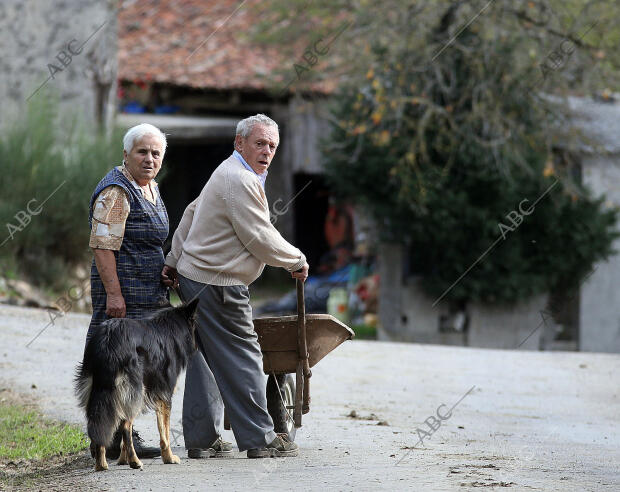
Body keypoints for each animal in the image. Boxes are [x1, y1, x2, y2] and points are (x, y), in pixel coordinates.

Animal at [74, 300, 199, 472]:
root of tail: (108, 339)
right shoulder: (164, 395)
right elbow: (164, 431)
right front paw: (168, 457)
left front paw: (122, 460)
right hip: (135, 391)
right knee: (126, 426)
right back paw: (135, 461)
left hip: (100, 391)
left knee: (101, 424)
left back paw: (101, 464)